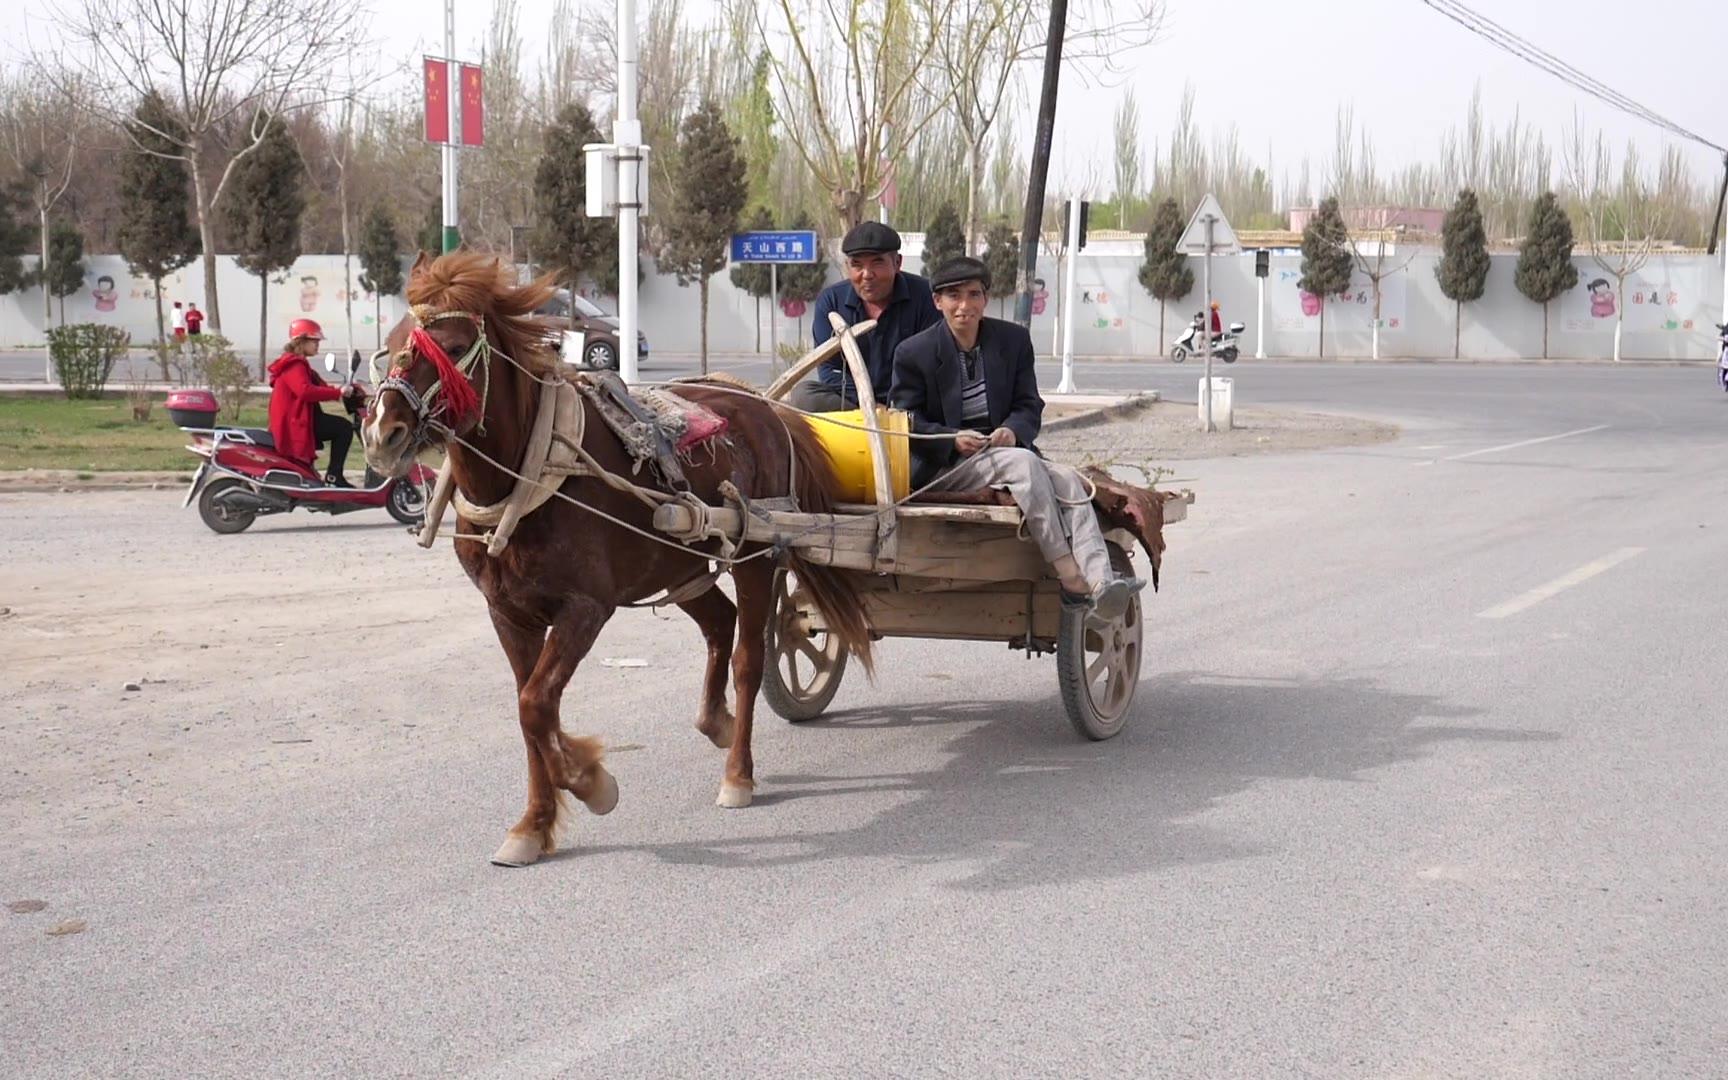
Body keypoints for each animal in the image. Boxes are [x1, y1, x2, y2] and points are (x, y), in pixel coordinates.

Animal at [366, 252, 877, 867]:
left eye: (455, 343)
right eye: (392, 341)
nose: (382, 433)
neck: (531, 473)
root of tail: (765, 407)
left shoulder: (586, 607)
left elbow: (536, 705)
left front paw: (589, 781)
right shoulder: (506, 612)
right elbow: (528, 710)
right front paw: (533, 825)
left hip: (755, 554)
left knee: (749, 658)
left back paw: (738, 773)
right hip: (679, 562)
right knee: (720, 623)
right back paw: (716, 721)